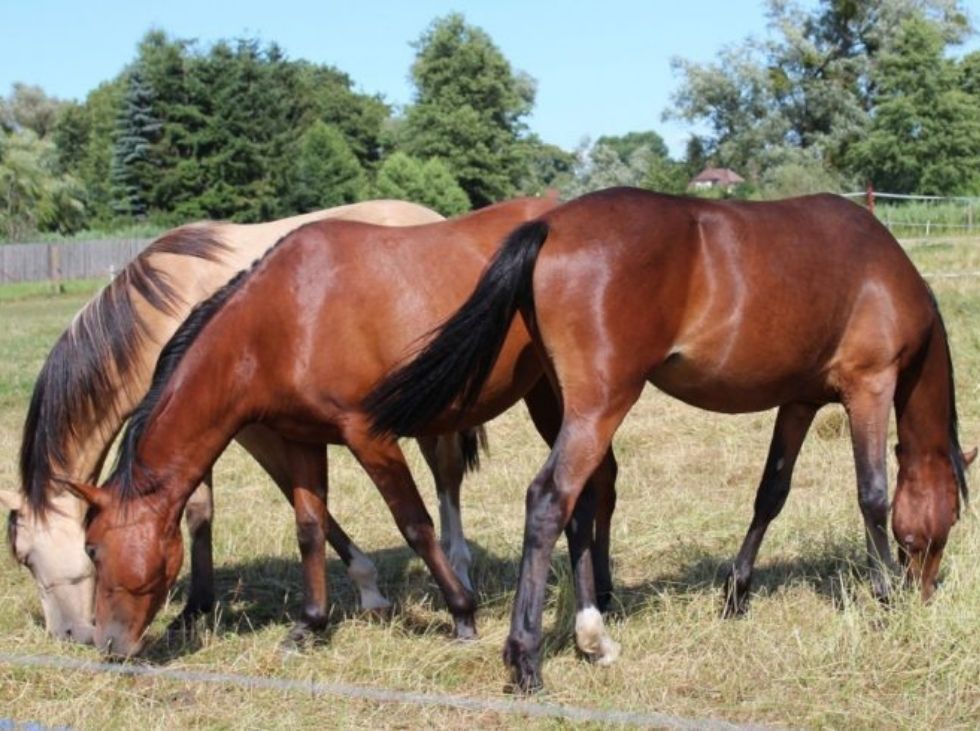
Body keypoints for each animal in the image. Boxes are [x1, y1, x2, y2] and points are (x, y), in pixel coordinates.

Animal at [2, 199, 490, 645]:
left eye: (26, 557)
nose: (68, 635)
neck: (160, 310)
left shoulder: (251, 427)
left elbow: (248, 501)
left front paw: (367, 588)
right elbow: (219, 509)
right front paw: (196, 610)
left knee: (446, 478)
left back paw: (461, 570)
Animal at [68, 194, 622, 660]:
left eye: (92, 549)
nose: (107, 645)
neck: (282, 320)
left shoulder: (368, 435)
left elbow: (414, 523)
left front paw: (462, 614)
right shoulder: (302, 439)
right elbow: (310, 527)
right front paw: (310, 623)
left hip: (559, 400)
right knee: (601, 481)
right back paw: (603, 595)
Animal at [365, 187, 975, 692]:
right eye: (948, 521)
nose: (925, 593)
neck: (881, 270)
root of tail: (550, 227)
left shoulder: (799, 402)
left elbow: (770, 494)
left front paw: (736, 594)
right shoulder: (869, 387)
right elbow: (872, 495)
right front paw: (885, 595)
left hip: (571, 409)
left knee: (580, 507)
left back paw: (593, 637)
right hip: (600, 406)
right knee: (548, 501)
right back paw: (527, 658)